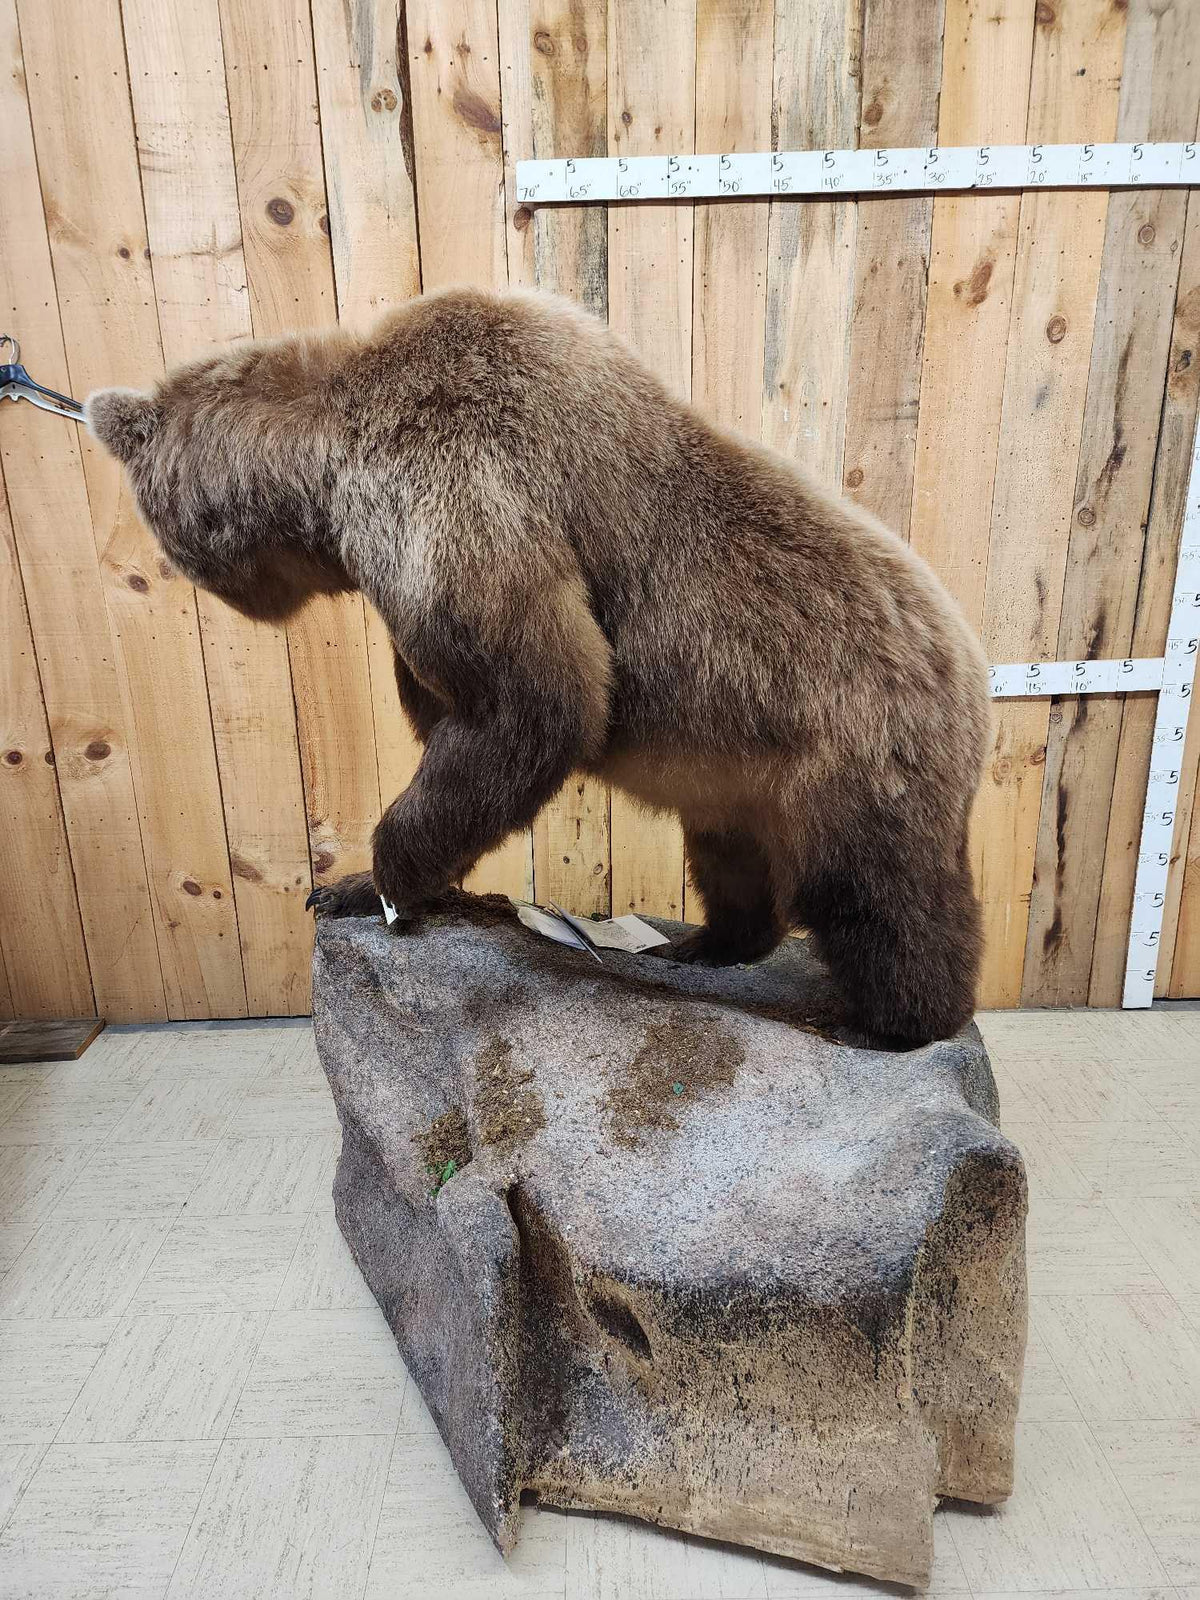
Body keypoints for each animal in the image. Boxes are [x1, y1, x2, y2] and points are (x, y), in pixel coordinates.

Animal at [86, 287, 990, 1044]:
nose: (186, 574)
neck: (328, 474)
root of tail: (975, 671)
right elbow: (464, 730)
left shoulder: (458, 487)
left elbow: (532, 704)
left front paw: (372, 883)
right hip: (737, 773)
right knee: (731, 858)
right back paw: (700, 946)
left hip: (852, 751)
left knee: (877, 896)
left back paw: (891, 1020)